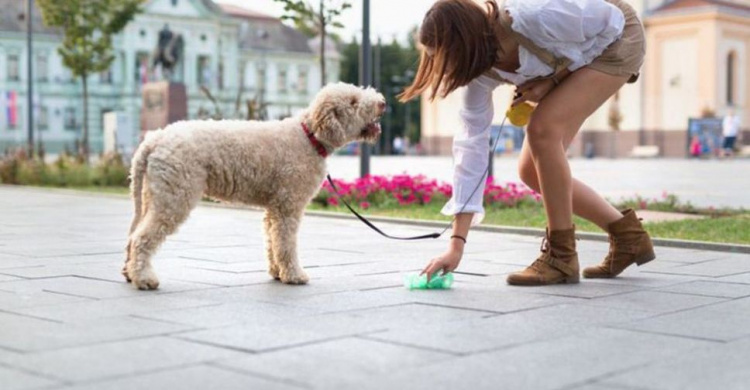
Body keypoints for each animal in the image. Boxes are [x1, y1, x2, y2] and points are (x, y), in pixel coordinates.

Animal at [124, 83, 388, 290]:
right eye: (353, 101)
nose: (382, 103)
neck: (308, 137)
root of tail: (154, 139)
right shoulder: (288, 206)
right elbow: (286, 243)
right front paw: (294, 275)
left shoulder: (275, 207)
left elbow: (272, 241)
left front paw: (277, 272)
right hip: (174, 196)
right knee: (142, 238)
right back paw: (145, 279)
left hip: (153, 194)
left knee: (133, 234)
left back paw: (129, 273)